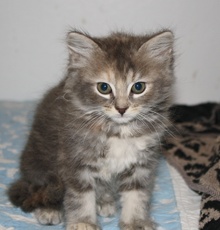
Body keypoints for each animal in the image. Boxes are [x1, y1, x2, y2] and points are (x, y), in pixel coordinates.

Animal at [7, 30, 175, 230]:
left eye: (138, 87)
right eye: (103, 87)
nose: (121, 109)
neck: (117, 131)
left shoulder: (141, 164)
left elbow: (137, 195)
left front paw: (135, 222)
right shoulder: (76, 160)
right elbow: (81, 197)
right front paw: (82, 223)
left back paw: (105, 201)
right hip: (39, 162)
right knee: (43, 189)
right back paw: (49, 210)